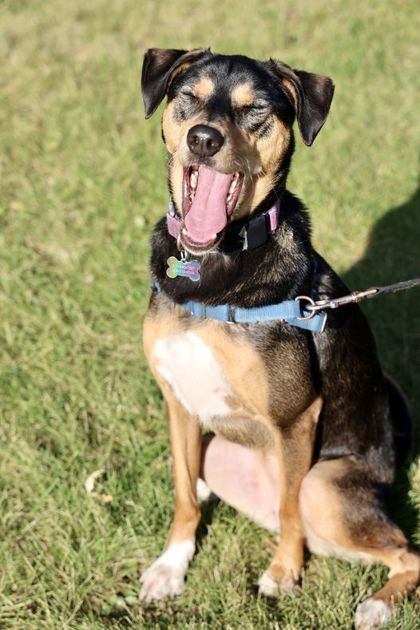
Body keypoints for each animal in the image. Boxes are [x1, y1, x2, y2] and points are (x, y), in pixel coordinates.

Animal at [139, 48, 420, 628]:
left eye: (256, 110)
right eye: (189, 96)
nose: (204, 138)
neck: (216, 265)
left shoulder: (296, 419)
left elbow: (289, 507)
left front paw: (284, 574)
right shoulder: (179, 402)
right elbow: (183, 492)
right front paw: (171, 566)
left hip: (324, 489)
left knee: (403, 551)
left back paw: (377, 606)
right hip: (222, 450)